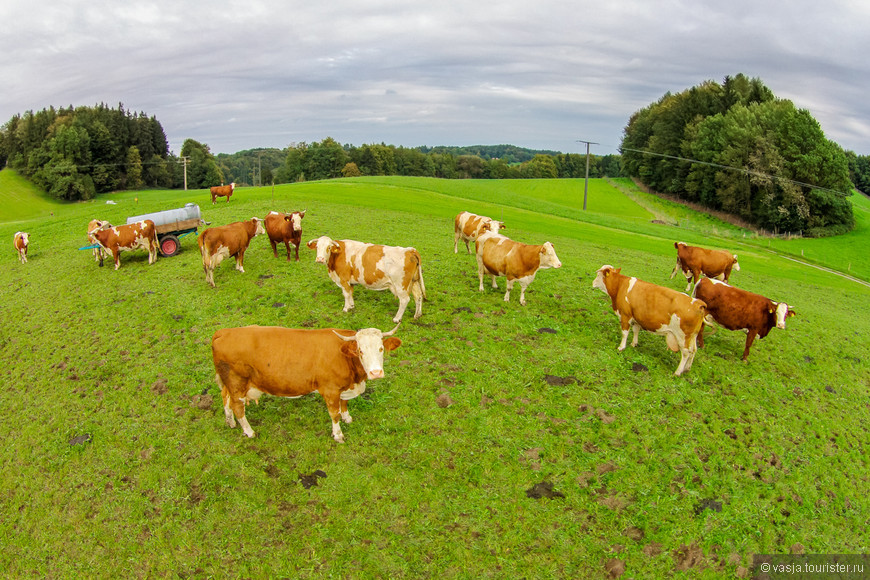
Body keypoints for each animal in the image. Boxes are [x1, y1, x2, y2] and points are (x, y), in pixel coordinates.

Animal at [213, 324, 404, 442]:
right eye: (360, 350)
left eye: (381, 348)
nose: (376, 373)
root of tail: (223, 332)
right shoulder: (330, 390)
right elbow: (334, 414)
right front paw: (338, 434)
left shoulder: (343, 388)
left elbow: (344, 403)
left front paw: (347, 417)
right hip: (237, 384)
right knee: (238, 407)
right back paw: (249, 431)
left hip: (231, 384)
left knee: (225, 397)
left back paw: (230, 422)